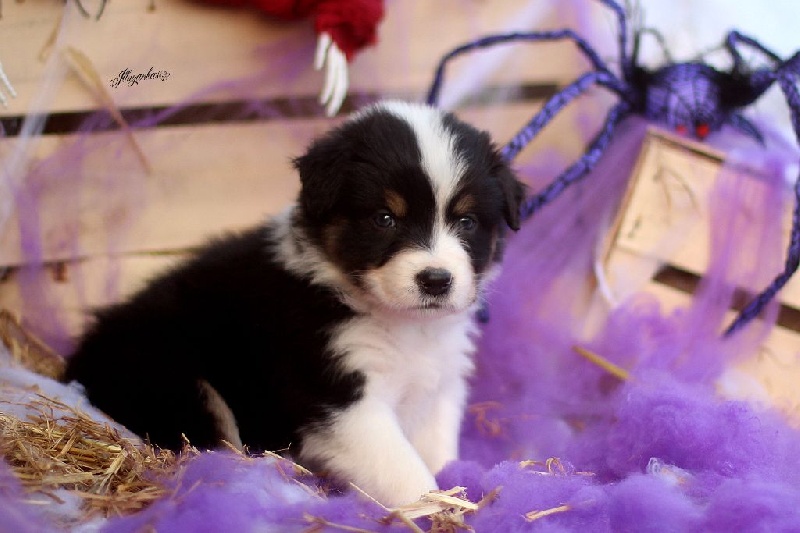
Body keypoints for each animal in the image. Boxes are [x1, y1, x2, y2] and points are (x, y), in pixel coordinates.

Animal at [64, 100, 525, 507]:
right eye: (384, 219)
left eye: (467, 221)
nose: (436, 280)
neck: (404, 324)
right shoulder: (337, 392)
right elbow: (401, 468)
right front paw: (440, 509)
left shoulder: (439, 382)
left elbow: (437, 448)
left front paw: (456, 487)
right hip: (179, 381)